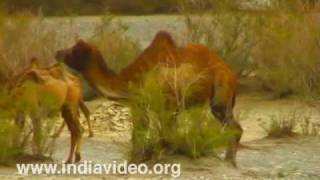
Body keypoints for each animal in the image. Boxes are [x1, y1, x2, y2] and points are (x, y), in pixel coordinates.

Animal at [56, 30, 244, 167]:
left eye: (74, 50)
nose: (58, 52)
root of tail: (231, 72)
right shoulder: (140, 105)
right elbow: (139, 134)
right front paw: (135, 161)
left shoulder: (167, 106)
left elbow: (164, 137)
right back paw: (229, 160)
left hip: (221, 92)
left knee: (234, 126)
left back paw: (230, 162)